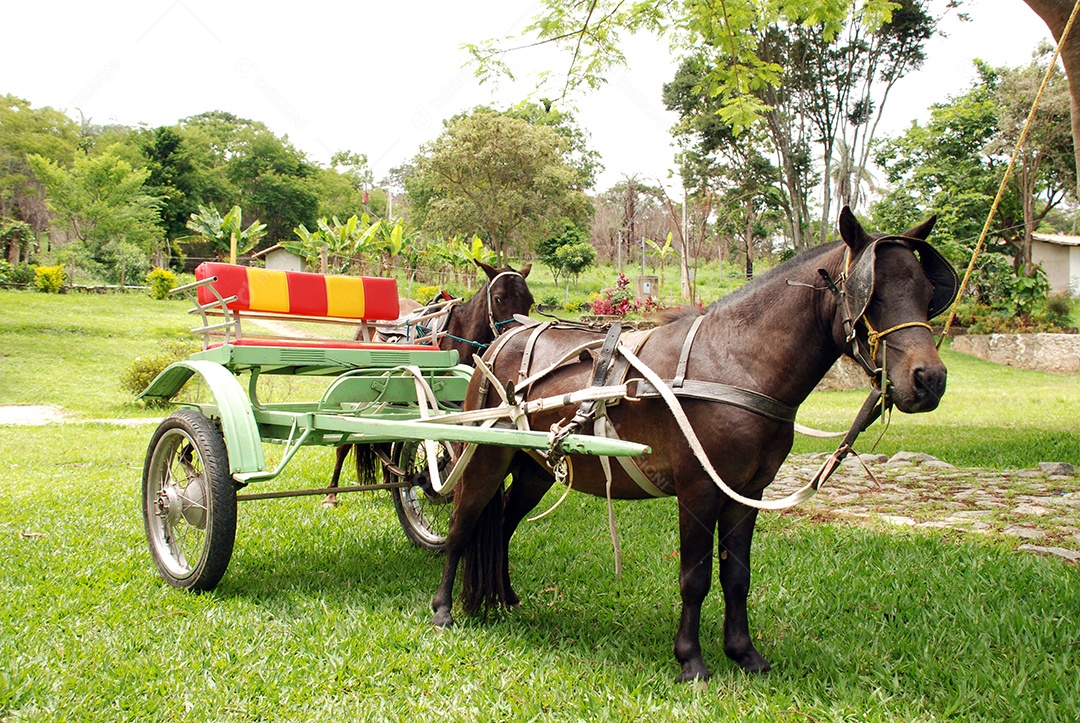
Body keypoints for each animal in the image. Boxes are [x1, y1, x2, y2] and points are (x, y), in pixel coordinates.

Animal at [324, 259, 533, 503]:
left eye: (529, 301)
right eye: (499, 298)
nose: (519, 337)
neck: (460, 336)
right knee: (344, 444)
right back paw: (331, 492)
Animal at [429, 208, 957, 681]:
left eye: (928, 293)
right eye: (871, 294)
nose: (929, 379)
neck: (734, 361)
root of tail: (501, 341)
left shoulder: (748, 492)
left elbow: (737, 576)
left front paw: (744, 654)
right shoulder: (699, 488)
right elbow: (695, 577)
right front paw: (691, 660)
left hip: (533, 470)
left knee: (500, 526)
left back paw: (503, 598)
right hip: (483, 458)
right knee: (462, 525)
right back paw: (443, 608)